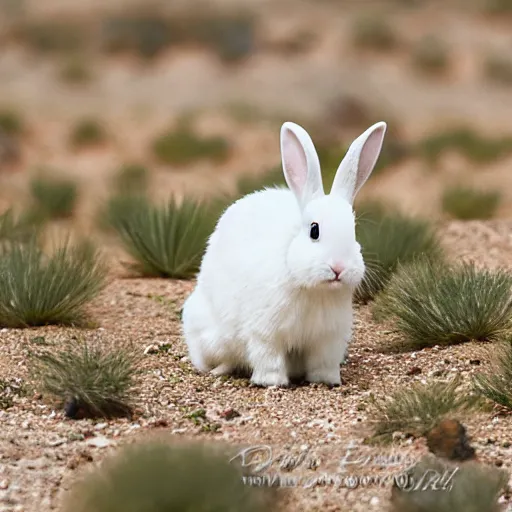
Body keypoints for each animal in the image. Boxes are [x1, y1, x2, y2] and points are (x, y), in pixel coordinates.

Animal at [182, 119, 386, 384]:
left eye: (353, 232)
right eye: (314, 230)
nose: (338, 267)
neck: (314, 289)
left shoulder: (328, 339)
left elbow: (323, 363)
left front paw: (328, 381)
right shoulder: (265, 332)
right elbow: (268, 358)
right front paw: (272, 382)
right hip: (213, 337)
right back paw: (220, 370)